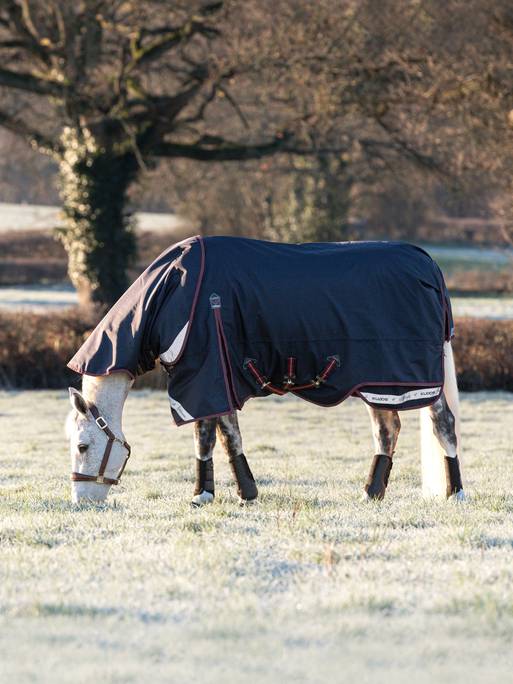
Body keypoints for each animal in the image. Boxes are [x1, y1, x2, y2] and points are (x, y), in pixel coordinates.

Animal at [65, 238, 464, 504]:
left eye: (83, 445)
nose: (82, 501)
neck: (175, 293)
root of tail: (428, 264)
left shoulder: (204, 378)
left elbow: (205, 436)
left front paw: (201, 495)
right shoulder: (219, 379)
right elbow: (230, 436)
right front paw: (246, 493)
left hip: (413, 381)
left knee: (442, 424)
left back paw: (455, 492)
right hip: (377, 384)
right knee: (388, 430)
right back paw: (371, 493)